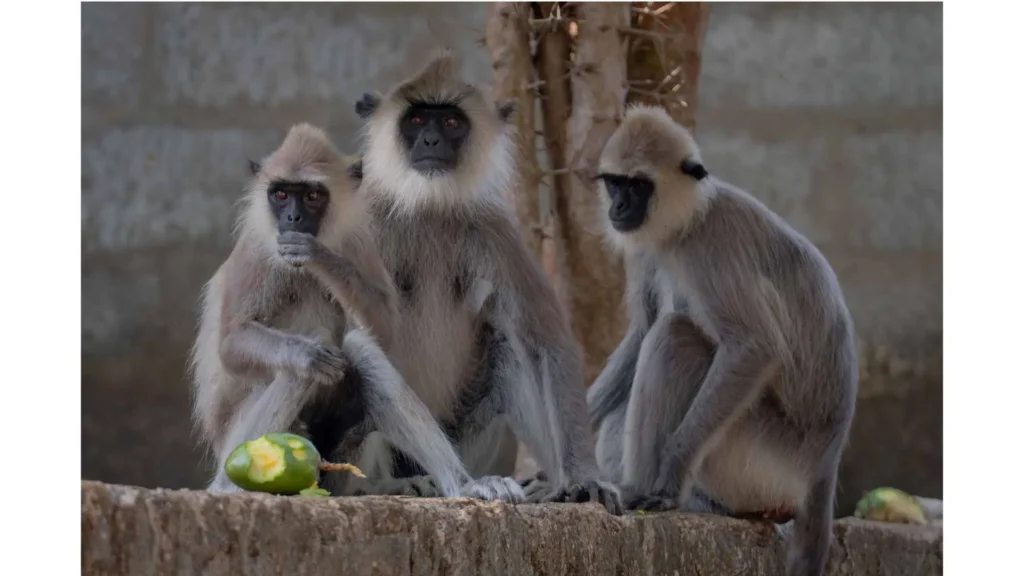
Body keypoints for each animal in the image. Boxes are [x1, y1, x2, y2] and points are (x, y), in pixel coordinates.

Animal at [187, 122, 481, 499]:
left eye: (312, 196)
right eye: (280, 195)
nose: (293, 217)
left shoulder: (358, 242)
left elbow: (384, 329)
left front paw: (320, 256)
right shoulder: (256, 251)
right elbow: (231, 346)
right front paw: (307, 354)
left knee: (360, 348)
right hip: (242, 440)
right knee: (311, 359)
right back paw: (230, 487)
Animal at [352, 49, 622, 513]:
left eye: (451, 122)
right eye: (417, 121)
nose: (430, 142)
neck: (428, 206)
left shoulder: (495, 231)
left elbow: (548, 342)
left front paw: (585, 479)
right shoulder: (366, 222)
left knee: (508, 350)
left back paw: (551, 485)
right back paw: (384, 486)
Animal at [586, 105, 858, 575]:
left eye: (638, 186)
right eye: (616, 183)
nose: (619, 206)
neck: (688, 220)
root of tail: (824, 465)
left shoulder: (710, 248)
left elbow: (754, 347)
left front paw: (668, 476)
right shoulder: (645, 249)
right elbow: (641, 330)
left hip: (761, 459)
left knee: (677, 338)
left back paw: (640, 489)